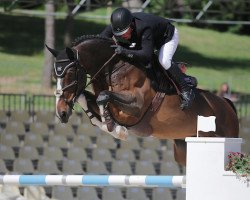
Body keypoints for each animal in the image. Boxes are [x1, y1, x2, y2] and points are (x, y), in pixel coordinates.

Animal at [46, 35, 238, 166]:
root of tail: (226, 104)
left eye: (70, 73)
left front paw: (116, 128)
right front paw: (112, 126)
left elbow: (104, 97)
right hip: (183, 149)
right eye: (56, 75)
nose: (62, 113)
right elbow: (86, 98)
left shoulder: (136, 108)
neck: (114, 67)